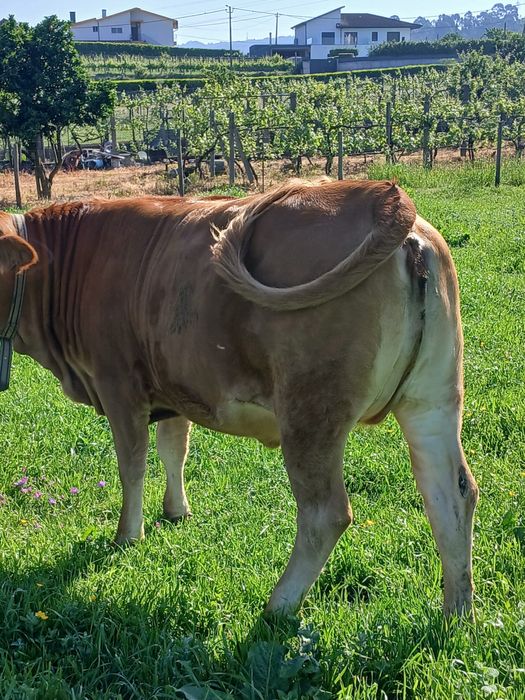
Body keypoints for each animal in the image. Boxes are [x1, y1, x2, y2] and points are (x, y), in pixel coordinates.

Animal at [0, 178, 478, 618]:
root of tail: (384, 195)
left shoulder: (119, 385)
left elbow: (131, 466)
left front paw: (127, 536)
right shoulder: (175, 384)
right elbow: (173, 450)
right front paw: (176, 512)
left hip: (311, 413)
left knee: (326, 513)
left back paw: (279, 605)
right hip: (434, 400)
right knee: (452, 494)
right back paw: (456, 612)